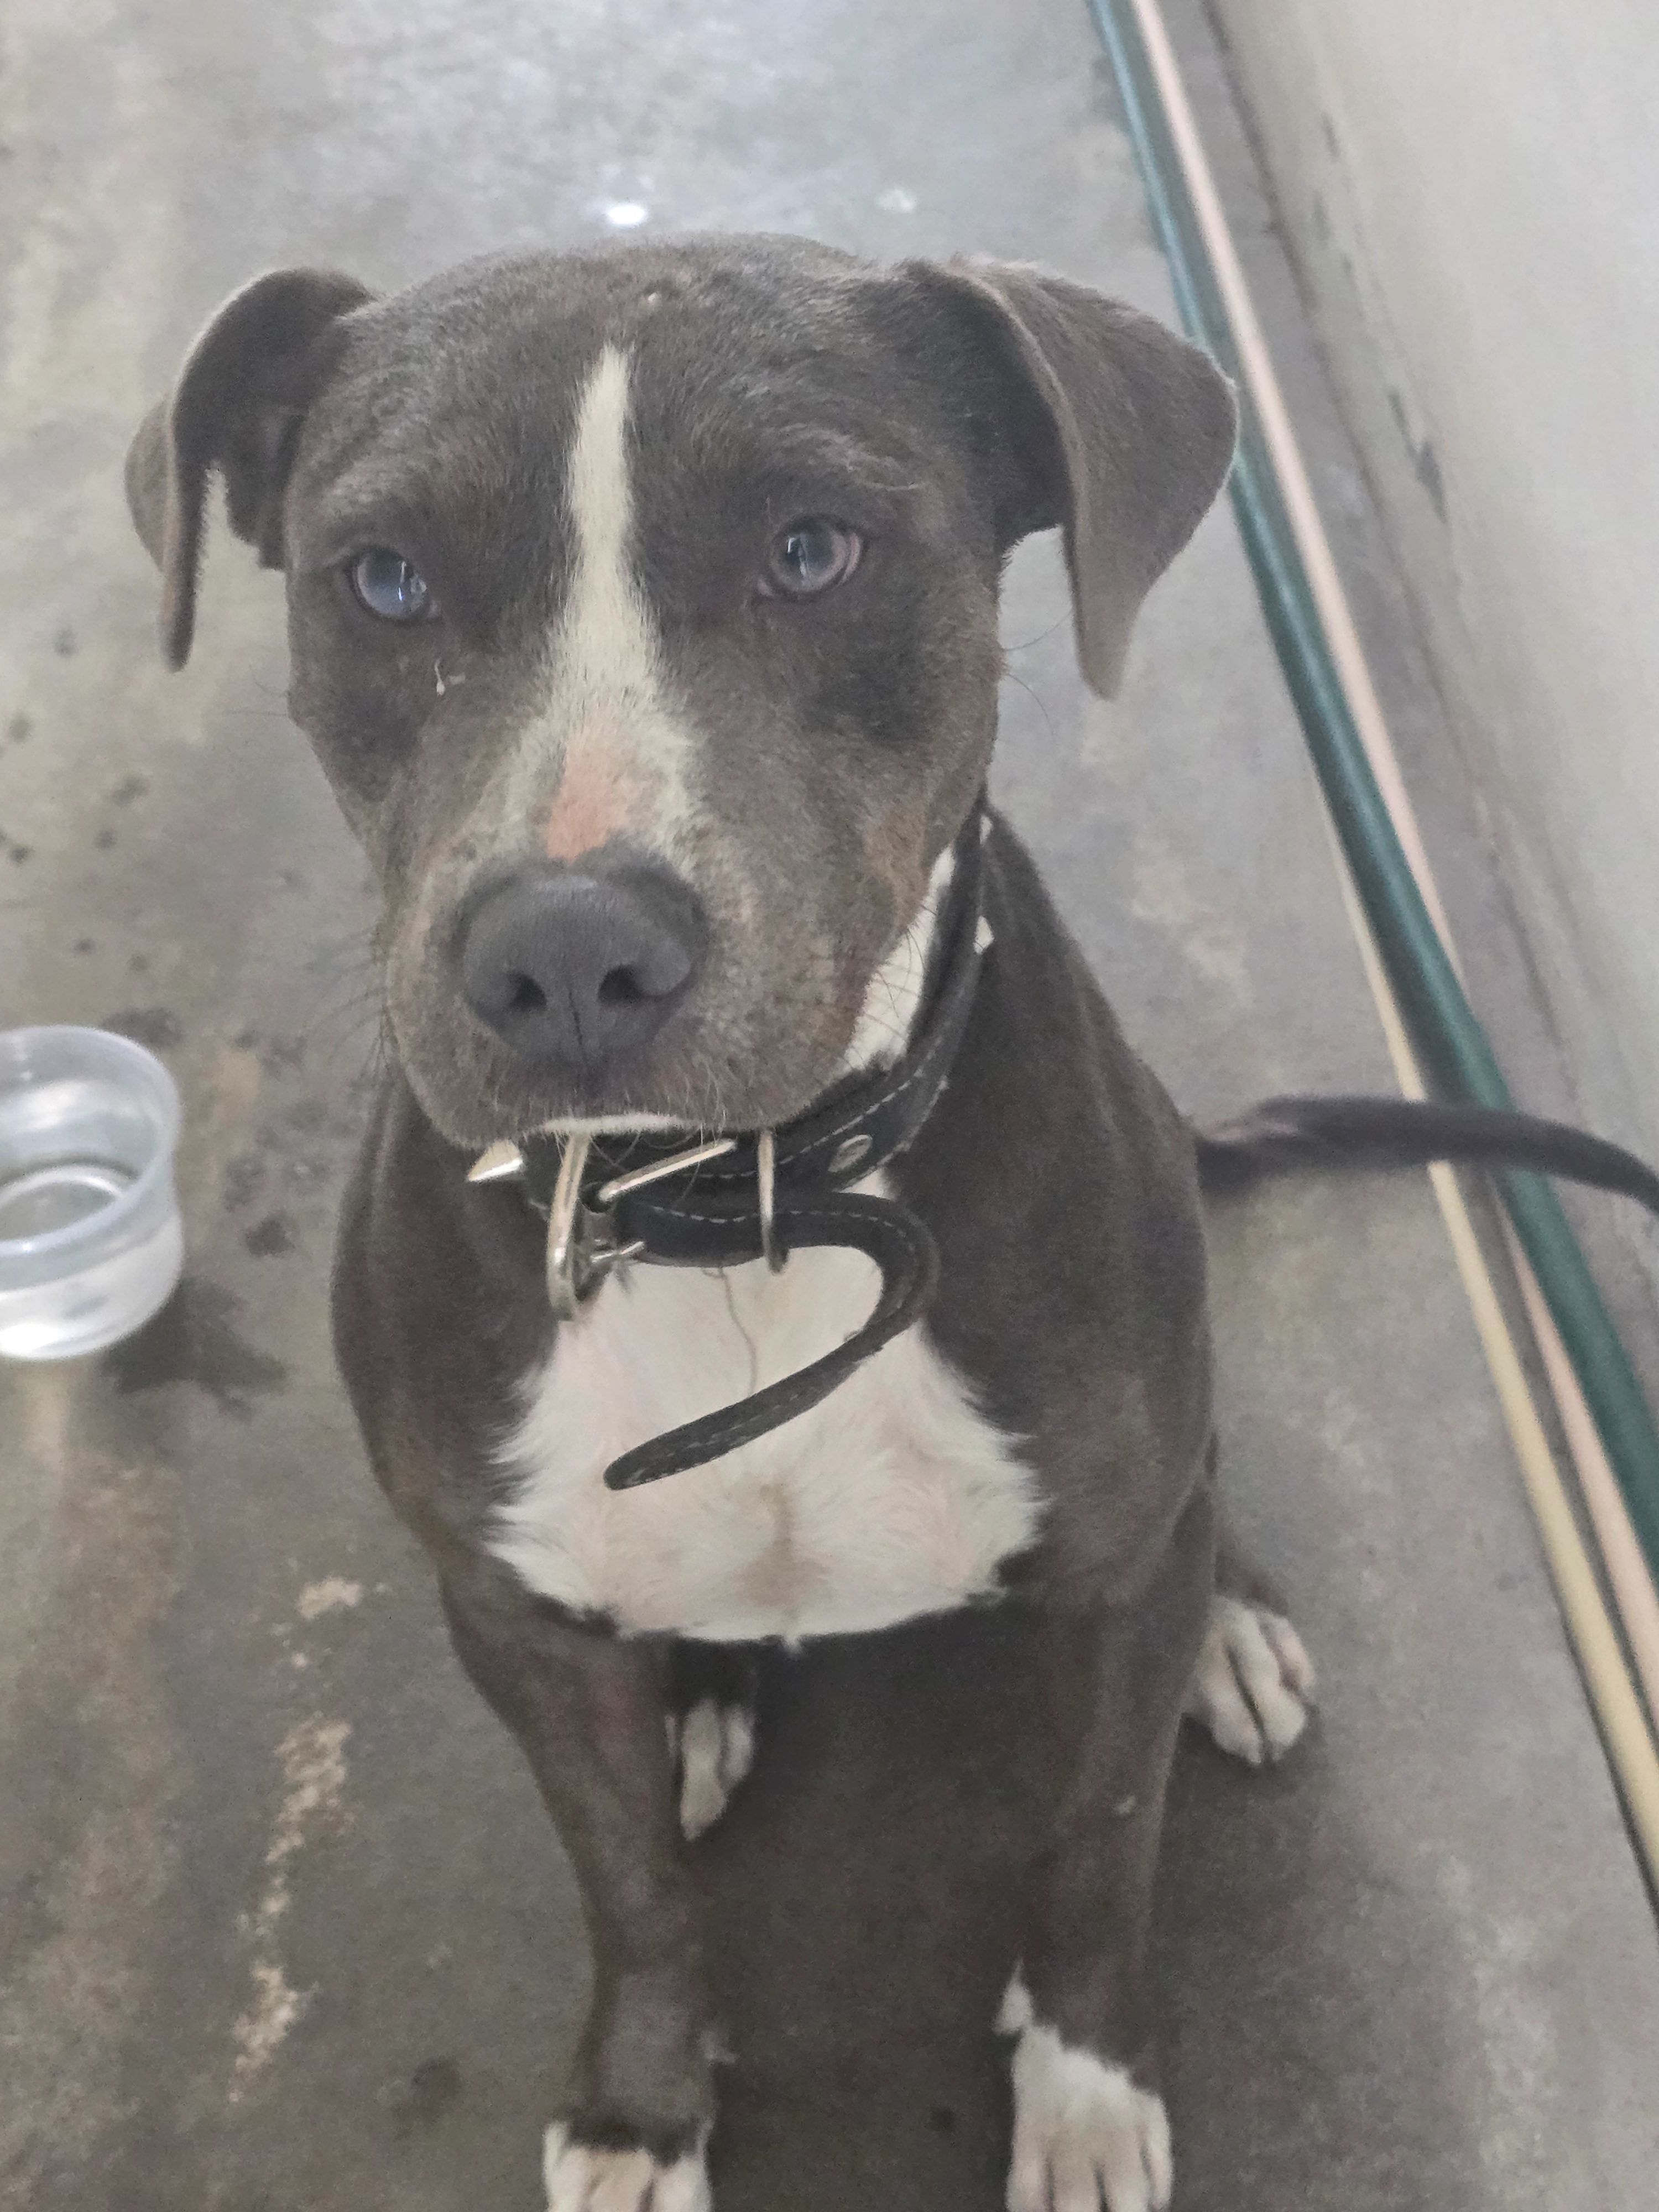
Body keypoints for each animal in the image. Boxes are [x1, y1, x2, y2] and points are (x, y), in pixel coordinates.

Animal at [125, 237, 1657, 2212]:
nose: (563, 951)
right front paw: (639, 2107)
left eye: (811, 550)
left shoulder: (1105, 1587)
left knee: (1202, 1492)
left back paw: (1230, 1626)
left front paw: (1086, 2087)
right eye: (383, 580)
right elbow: (629, 1891)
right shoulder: (506, 1611)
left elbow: (1098, 1846)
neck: (753, 1209)